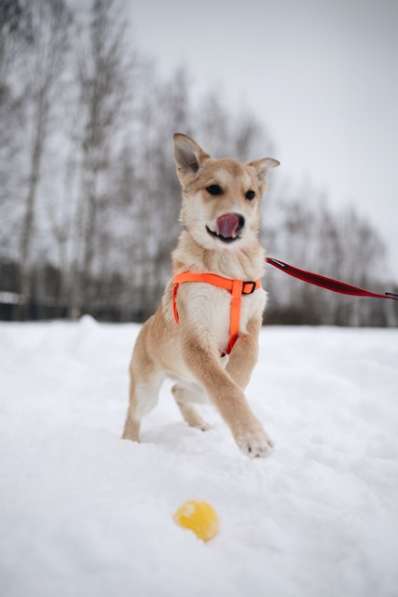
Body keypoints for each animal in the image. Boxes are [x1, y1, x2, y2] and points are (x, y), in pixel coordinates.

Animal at [122, 132, 280, 456]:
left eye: (250, 194)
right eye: (214, 188)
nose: (237, 219)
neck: (227, 268)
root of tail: (145, 327)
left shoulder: (252, 322)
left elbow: (241, 370)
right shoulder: (195, 336)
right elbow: (224, 386)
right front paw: (252, 435)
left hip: (184, 379)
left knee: (179, 389)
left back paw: (197, 420)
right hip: (146, 388)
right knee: (135, 413)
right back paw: (129, 444)